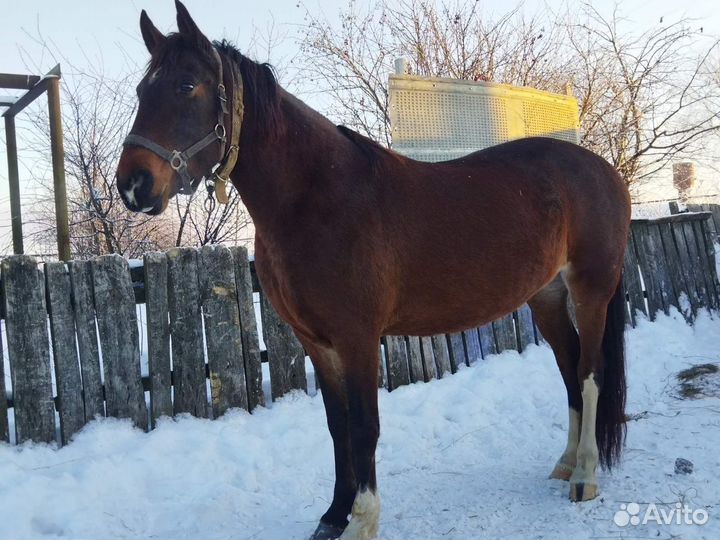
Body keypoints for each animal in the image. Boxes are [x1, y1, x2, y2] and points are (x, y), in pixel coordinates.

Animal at [116, 3, 631, 538]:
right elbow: (338, 425)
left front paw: (362, 520)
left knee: (591, 372)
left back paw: (586, 476)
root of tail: (603, 171)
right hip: (546, 297)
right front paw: (333, 515)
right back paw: (566, 463)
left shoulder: (357, 337)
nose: (133, 185)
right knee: (569, 370)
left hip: (590, 290)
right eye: (141, 91)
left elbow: (365, 425)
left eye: (186, 85)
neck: (317, 199)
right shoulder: (317, 342)